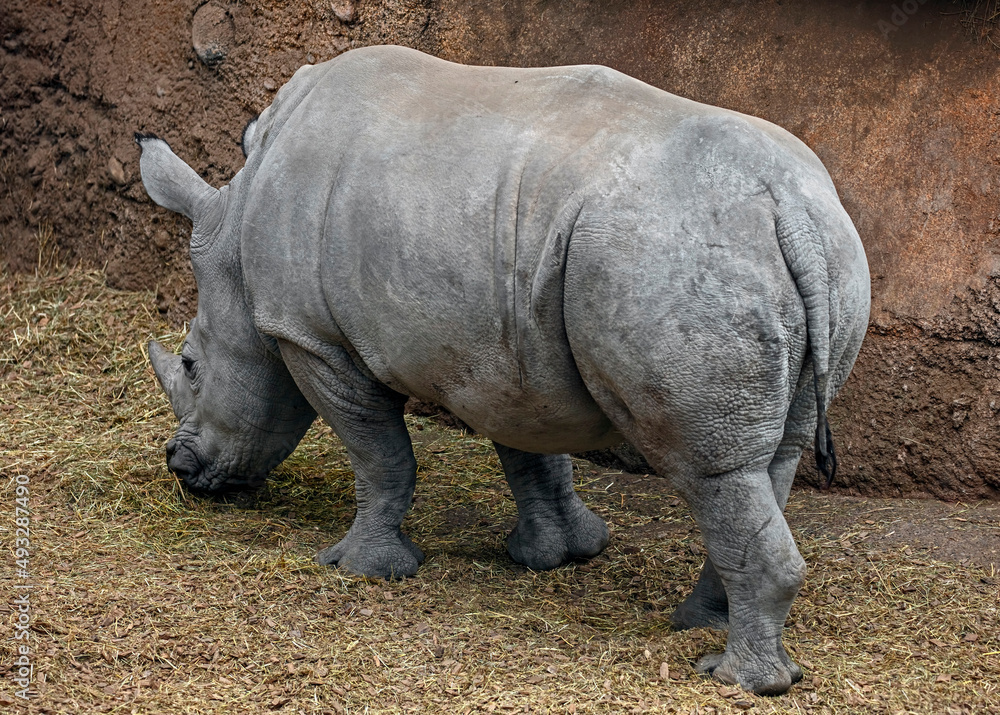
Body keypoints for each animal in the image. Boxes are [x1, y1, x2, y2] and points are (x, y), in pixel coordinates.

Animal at [137, 45, 869, 695]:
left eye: (192, 366)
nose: (180, 466)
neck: (235, 236)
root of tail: (788, 208)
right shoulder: (506, 345)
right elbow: (531, 451)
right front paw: (555, 554)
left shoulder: (311, 337)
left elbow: (378, 454)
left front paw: (359, 567)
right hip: (828, 258)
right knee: (769, 461)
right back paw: (700, 624)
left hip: (672, 262)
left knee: (711, 469)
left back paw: (735, 678)